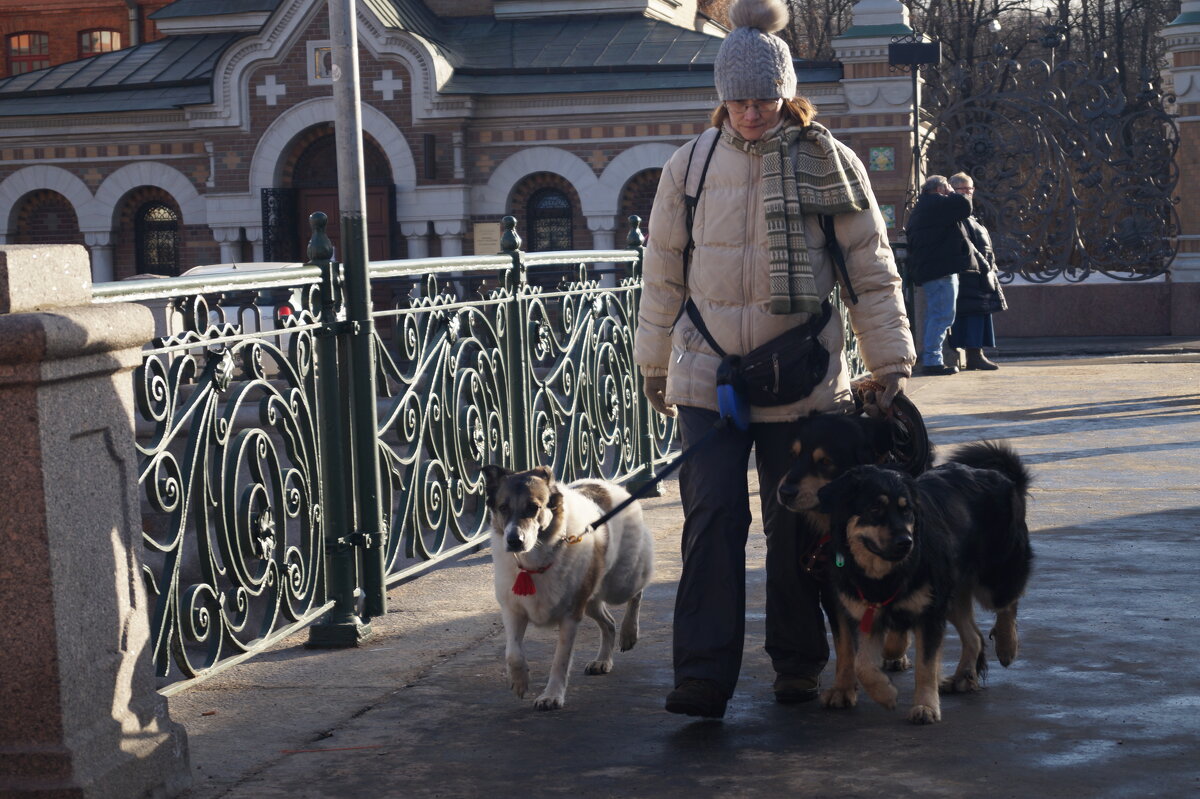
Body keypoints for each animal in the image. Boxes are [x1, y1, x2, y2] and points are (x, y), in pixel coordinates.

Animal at [480, 463, 657, 705]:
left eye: (533, 507)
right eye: (503, 507)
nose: (514, 541)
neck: (535, 560)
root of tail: (605, 484)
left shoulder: (570, 616)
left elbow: (560, 660)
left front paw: (552, 695)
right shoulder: (513, 610)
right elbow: (513, 652)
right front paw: (519, 680)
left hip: (619, 583)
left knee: (637, 592)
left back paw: (630, 631)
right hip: (590, 598)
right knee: (609, 623)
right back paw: (603, 660)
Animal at [820, 441, 1036, 719]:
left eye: (908, 511)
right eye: (875, 509)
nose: (906, 542)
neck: (886, 576)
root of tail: (1003, 478)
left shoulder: (928, 616)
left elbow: (926, 666)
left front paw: (925, 706)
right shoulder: (865, 614)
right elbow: (862, 665)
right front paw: (886, 694)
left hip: (992, 579)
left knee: (1008, 602)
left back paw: (1007, 646)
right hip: (950, 596)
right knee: (974, 636)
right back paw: (961, 677)